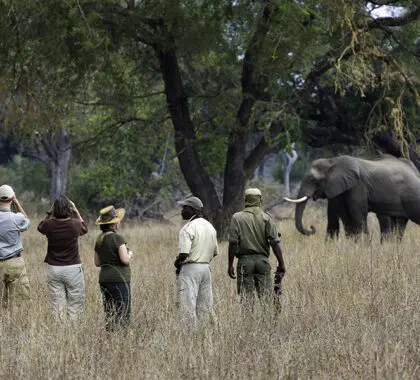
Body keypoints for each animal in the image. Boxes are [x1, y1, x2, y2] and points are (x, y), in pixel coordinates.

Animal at [284, 153, 420, 239]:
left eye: (313, 179)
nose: (312, 227)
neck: (332, 161)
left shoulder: (358, 186)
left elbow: (357, 215)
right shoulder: (338, 188)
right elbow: (342, 216)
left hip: (412, 194)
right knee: (399, 224)